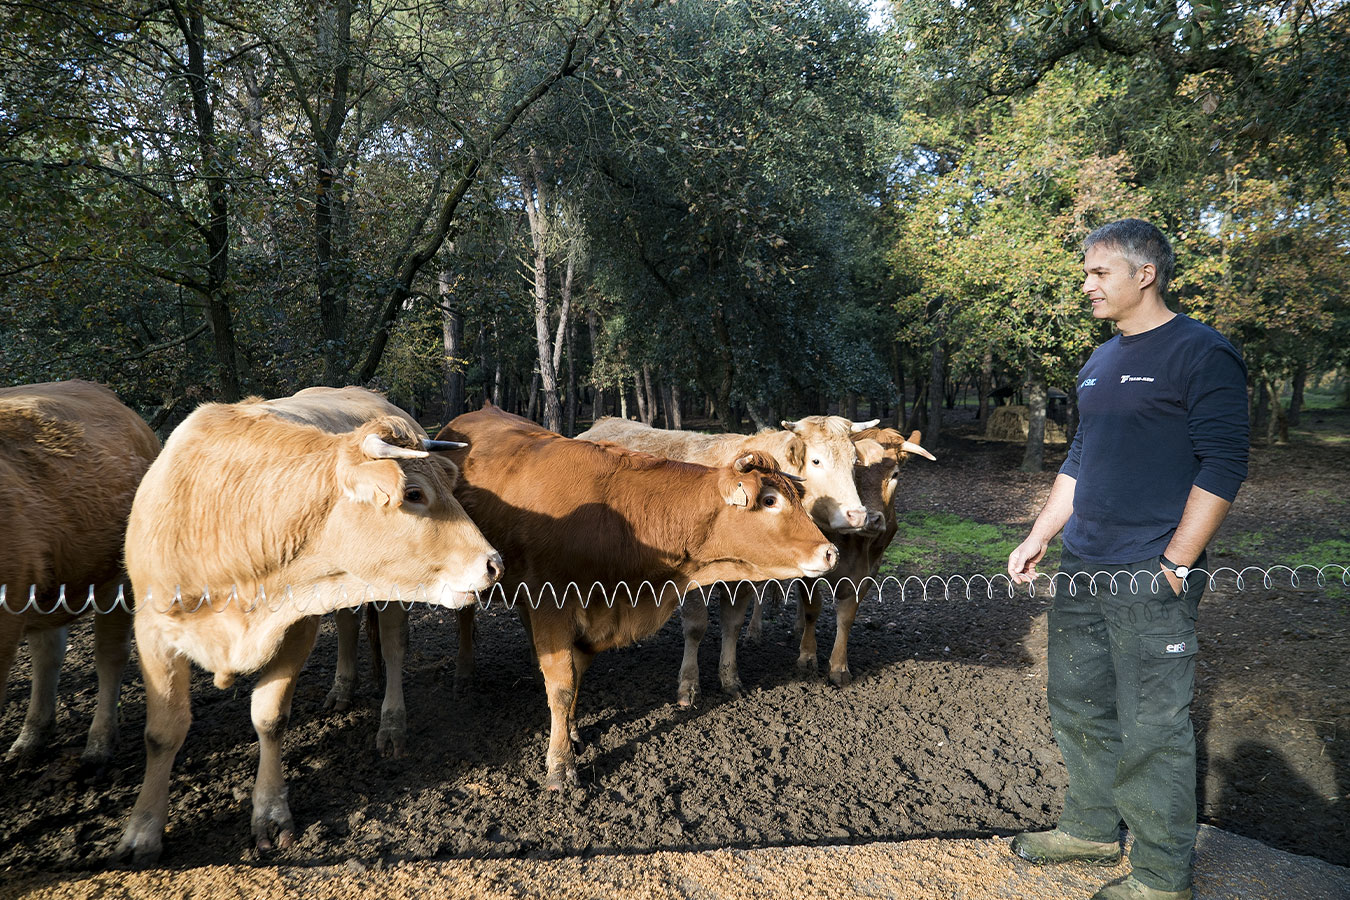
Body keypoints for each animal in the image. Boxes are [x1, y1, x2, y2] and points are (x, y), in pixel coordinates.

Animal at [113, 394, 504, 863]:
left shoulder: (296, 624)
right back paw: (342, 688)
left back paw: (391, 724)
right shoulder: (152, 632)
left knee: (393, 648)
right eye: (414, 494)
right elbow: (161, 733)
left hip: (387, 591)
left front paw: (269, 812)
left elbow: (269, 718)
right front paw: (142, 831)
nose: (494, 563)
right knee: (348, 624)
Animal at [437, 404, 837, 793]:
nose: (830, 552)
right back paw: (463, 674)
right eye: (770, 500)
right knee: (465, 619)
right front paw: (560, 765)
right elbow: (563, 685)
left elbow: (575, 675)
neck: (616, 520)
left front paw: (573, 730)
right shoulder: (553, 606)